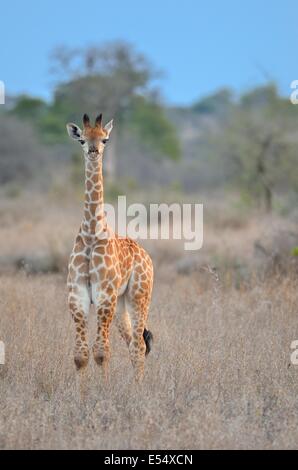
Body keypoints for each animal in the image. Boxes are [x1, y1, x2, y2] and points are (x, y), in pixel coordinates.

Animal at [65, 114, 154, 386]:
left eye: (104, 139)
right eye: (82, 139)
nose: (94, 151)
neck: (92, 233)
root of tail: (146, 256)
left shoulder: (104, 296)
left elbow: (101, 352)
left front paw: (104, 392)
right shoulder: (78, 296)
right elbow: (81, 355)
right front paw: (83, 394)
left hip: (138, 296)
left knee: (138, 345)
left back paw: (139, 390)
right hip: (121, 303)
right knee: (134, 342)